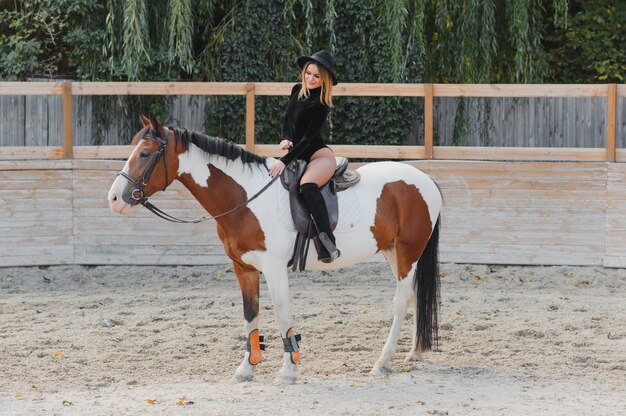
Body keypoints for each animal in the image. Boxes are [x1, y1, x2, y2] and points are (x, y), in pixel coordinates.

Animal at [107, 114, 442, 384]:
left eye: (146, 153)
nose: (114, 198)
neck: (245, 196)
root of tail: (426, 180)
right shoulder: (243, 267)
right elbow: (250, 314)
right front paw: (246, 368)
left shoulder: (274, 267)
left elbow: (282, 313)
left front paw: (288, 370)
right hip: (392, 250)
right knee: (414, 295)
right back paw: (414, 352)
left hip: (408, 252)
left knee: (400, 302)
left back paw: (382, 362)